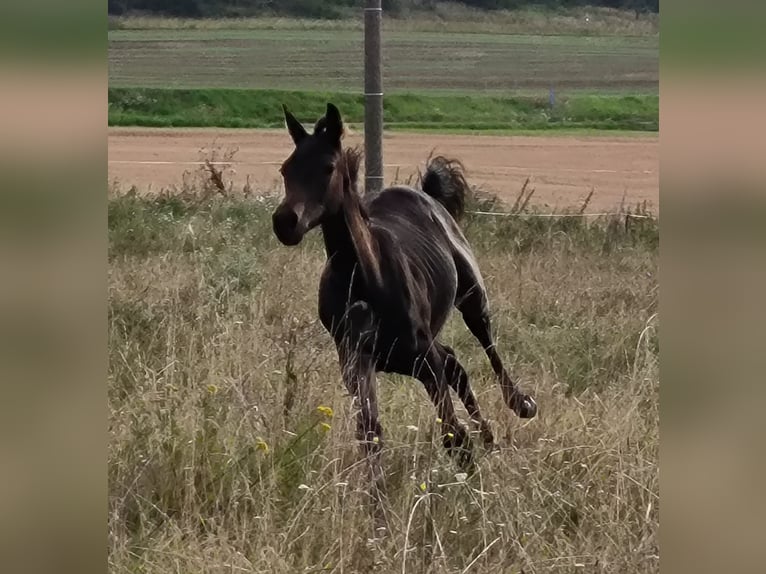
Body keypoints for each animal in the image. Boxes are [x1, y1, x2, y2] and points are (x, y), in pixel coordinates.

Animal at [272, 102, 536, 476]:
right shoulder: (356, 363)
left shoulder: (424, 359)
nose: (285, 222)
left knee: (486, 343)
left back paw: (521, 404)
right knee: (455, 363)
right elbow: (370, 434)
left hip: (471, 296)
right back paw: (489, 438)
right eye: (286, 169)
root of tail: (426, 194)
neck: (363, 279)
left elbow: (453, 434)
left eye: (328, 167)